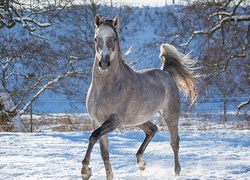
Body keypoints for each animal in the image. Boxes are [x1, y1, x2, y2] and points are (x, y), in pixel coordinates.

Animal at [82, 14, 199, 180]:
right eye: (95, 38)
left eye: (114, 38)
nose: (104, 63)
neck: (105, 89)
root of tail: (166, 73)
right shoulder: (96, 121)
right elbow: (104, 152)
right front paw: (106, 175)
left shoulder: (114, 120)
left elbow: (93, 136)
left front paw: (85, 171)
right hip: (137, 119)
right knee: (152, 129)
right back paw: (141, 163)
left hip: (170, 115)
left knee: (174, 141)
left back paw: (176, 171)